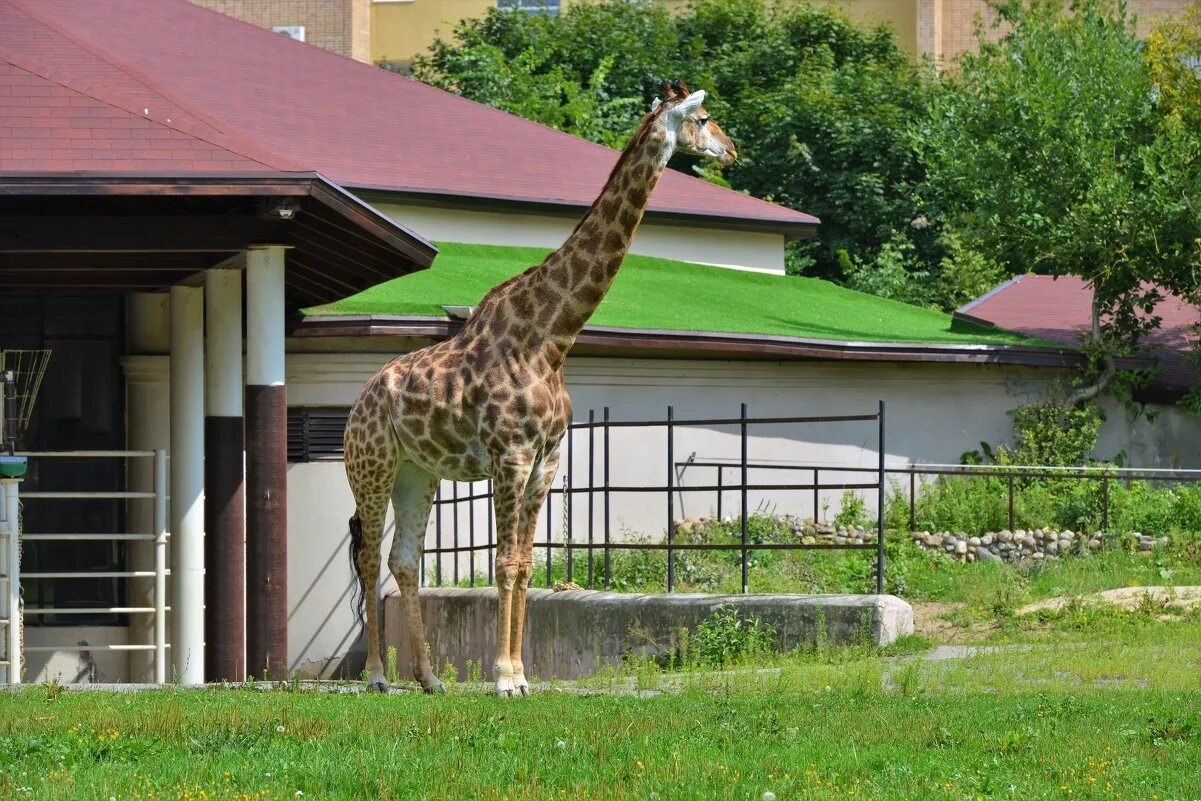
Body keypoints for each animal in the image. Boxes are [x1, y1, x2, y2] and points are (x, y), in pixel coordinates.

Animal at [338, 78, 730, 696]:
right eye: (705, 117)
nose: (732, 150)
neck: (552, 338)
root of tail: (356, 406)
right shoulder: (511, 457)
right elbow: (502, 563)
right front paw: (502, 678)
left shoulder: (547, 461)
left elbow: (524, 566)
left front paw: (523, 675)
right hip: (371, 467)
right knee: (371, 558)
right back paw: (378, 677)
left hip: (417, 473)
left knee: (404, 559)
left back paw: (429, 678)